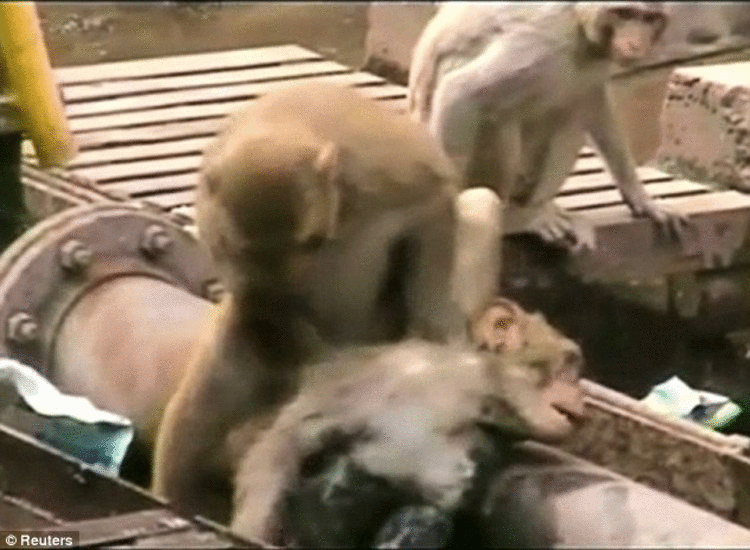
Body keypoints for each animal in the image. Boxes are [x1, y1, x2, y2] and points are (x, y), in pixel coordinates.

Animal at [151, 82, 507, 523]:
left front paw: (433, 327)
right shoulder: (215, 229)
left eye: (311, 242)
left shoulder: (386, 172)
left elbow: (434, 203)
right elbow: (259, 303)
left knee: (481, 203)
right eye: (243, 250)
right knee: (197, 417)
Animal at [408, 2, 689, 252]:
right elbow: (459, 91)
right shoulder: (544, 44)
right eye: (624, 13)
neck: (580, 24)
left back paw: (541, 206)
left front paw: (641, 197)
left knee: (571, 107)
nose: (635, 44)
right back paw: (516, 218)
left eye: (650, 18)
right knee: (499, 111)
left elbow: (593, 98)